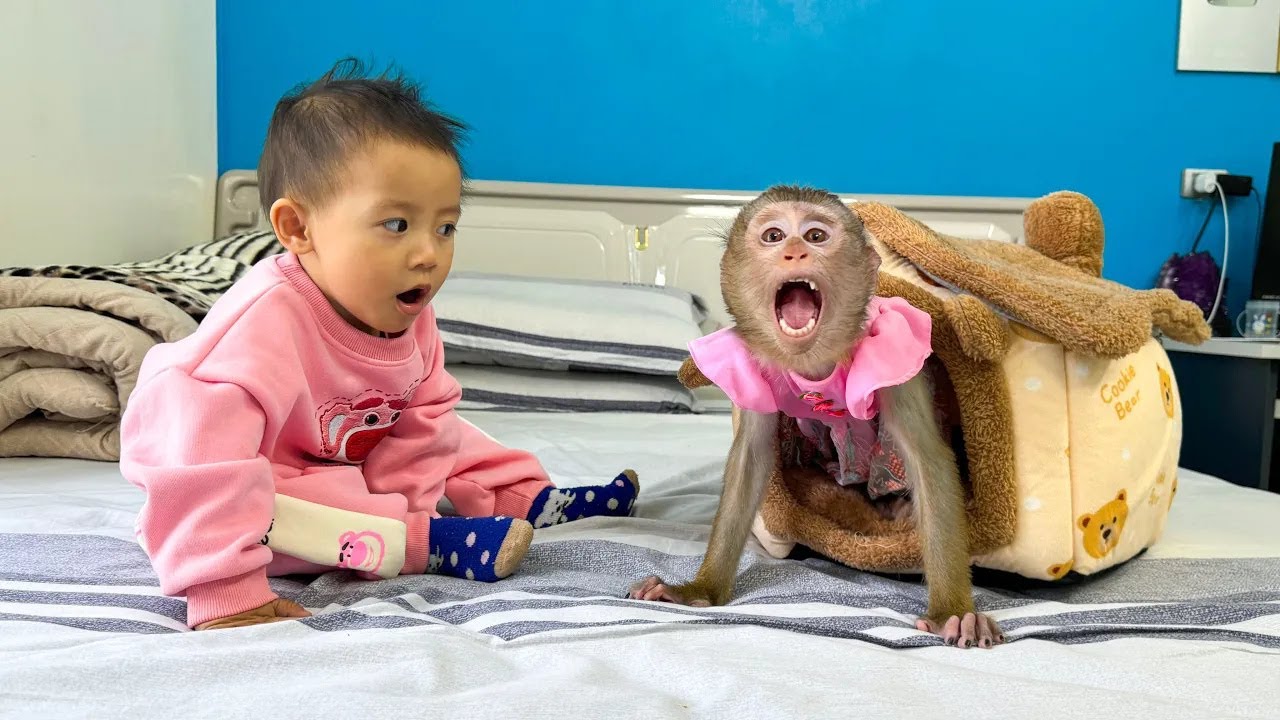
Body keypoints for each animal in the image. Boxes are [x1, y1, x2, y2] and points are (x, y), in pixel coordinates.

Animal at [627, 185, 1003, 649]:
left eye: (816, 236)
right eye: (773, 235)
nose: (794, 251)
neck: (815, 363)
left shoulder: (896, 350)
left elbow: (926, 458)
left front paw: (953, 611)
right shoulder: (749, 363)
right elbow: (751, 456)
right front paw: (700, 589)